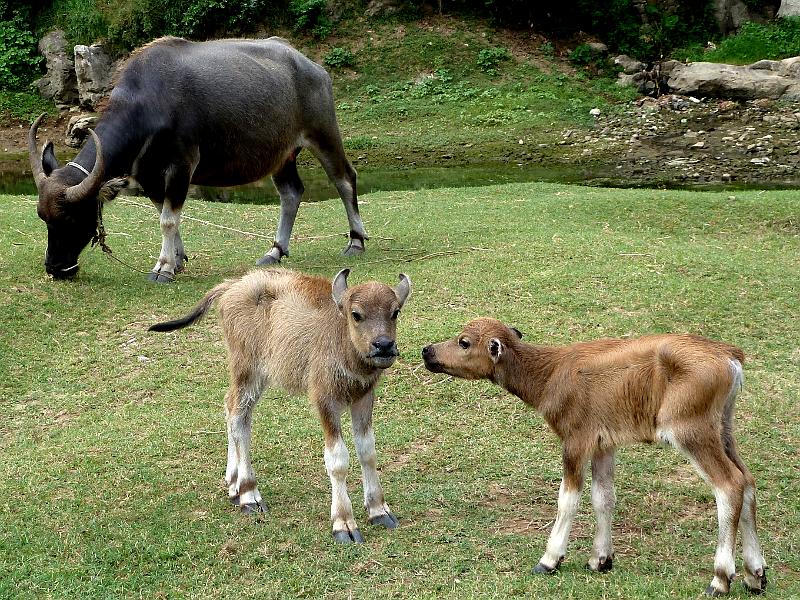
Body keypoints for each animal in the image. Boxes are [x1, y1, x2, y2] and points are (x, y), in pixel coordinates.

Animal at [28, 36, 368, 280]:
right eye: (43, 218)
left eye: (72, 217)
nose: (55, 268)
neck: (149, 101)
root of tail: (314, 68)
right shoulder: (149, 174)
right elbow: (165, 214)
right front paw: (177, 259)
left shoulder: (182, 166)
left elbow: (168, 218)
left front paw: (163, 267)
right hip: (281, 155)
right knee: (291, 193)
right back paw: (275, 251)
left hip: (323, 133)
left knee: (344, 179)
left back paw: (355, 242)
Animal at [151, 268, 412, 544]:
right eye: (356, 314)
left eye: (395, 312)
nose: (383, 345)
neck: (344, 345)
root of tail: (234, 284)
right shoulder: (324, 401)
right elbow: (338, 460)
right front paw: (344, 523)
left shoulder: (363, 397)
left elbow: (368, 451)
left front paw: (378, 510)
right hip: (247, 369)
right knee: (238, 417)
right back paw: (249, 494)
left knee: (230, 407)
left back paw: (233, 483)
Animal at [424, 316, 768, 596]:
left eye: (464, 341)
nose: (428, 351)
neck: (551, 374)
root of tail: (730, 357)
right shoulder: (604, 445)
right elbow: (603, 496)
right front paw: (600, 559)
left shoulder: (575, 441)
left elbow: (568, 499)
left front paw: (550, 559)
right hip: (723, 428)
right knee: (748, 481)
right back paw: (755, 574)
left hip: (690, 431)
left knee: (729, 485)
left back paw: (720, 578)